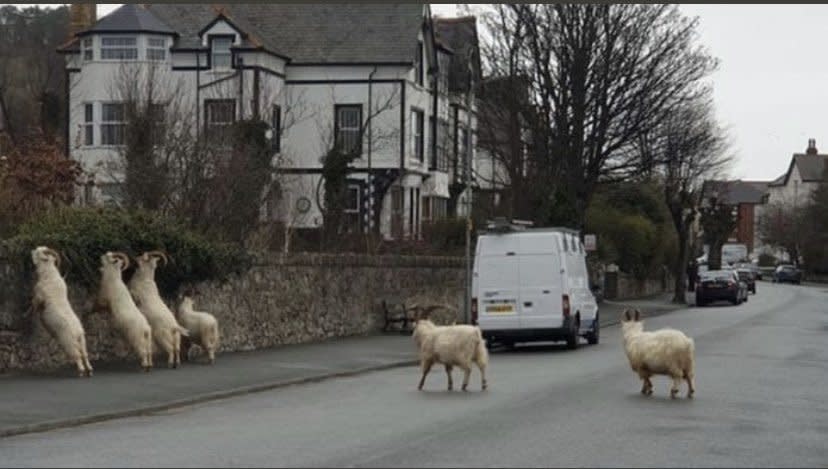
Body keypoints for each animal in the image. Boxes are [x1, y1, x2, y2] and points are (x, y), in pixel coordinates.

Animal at [30, 245, 93, 376]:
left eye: (38, 252)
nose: (32, 251)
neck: (49, 274)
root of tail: (77, 332)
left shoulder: (39, 296)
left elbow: (35, 304)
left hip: (68, 342)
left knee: (78, 356)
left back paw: (81, 371)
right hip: (82, 341)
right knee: (85, 354)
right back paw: (89, 370)